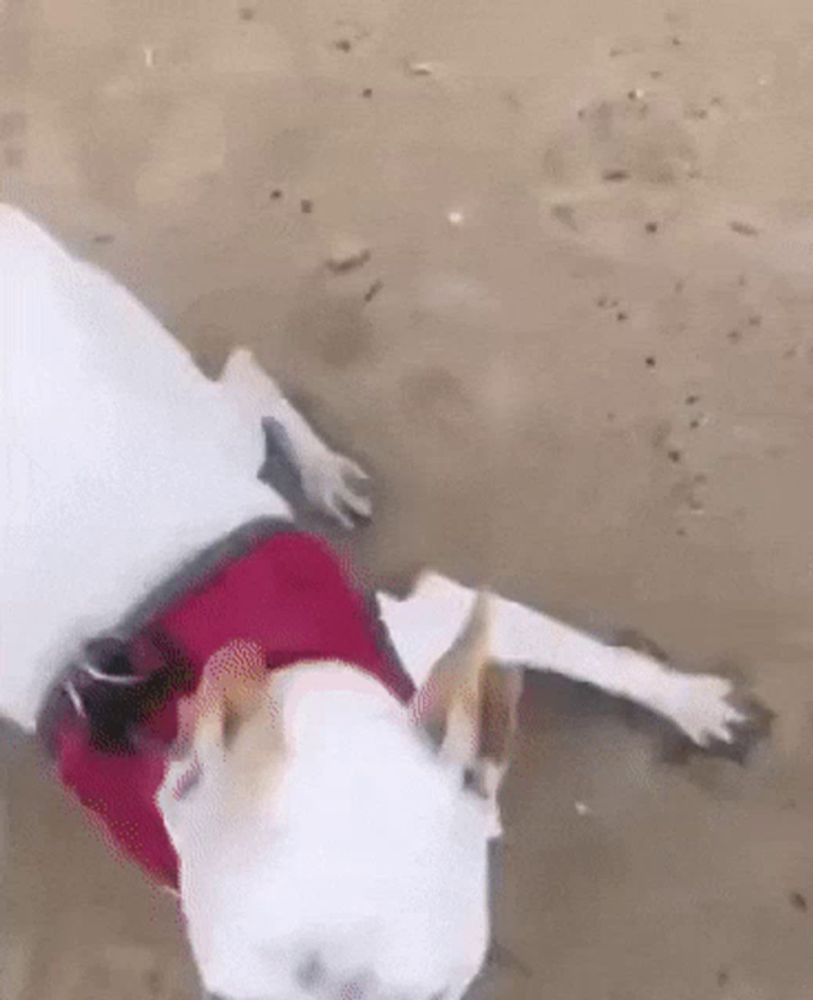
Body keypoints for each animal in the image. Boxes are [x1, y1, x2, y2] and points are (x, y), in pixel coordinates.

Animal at [0, 207, 760, 1000]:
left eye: (439, 990)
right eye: (227, 998)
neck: (293, 706)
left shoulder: (441, 622)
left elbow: (602, 659)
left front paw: (693, 704)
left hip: (193, 405)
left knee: (244, 374)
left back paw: (322, 471)